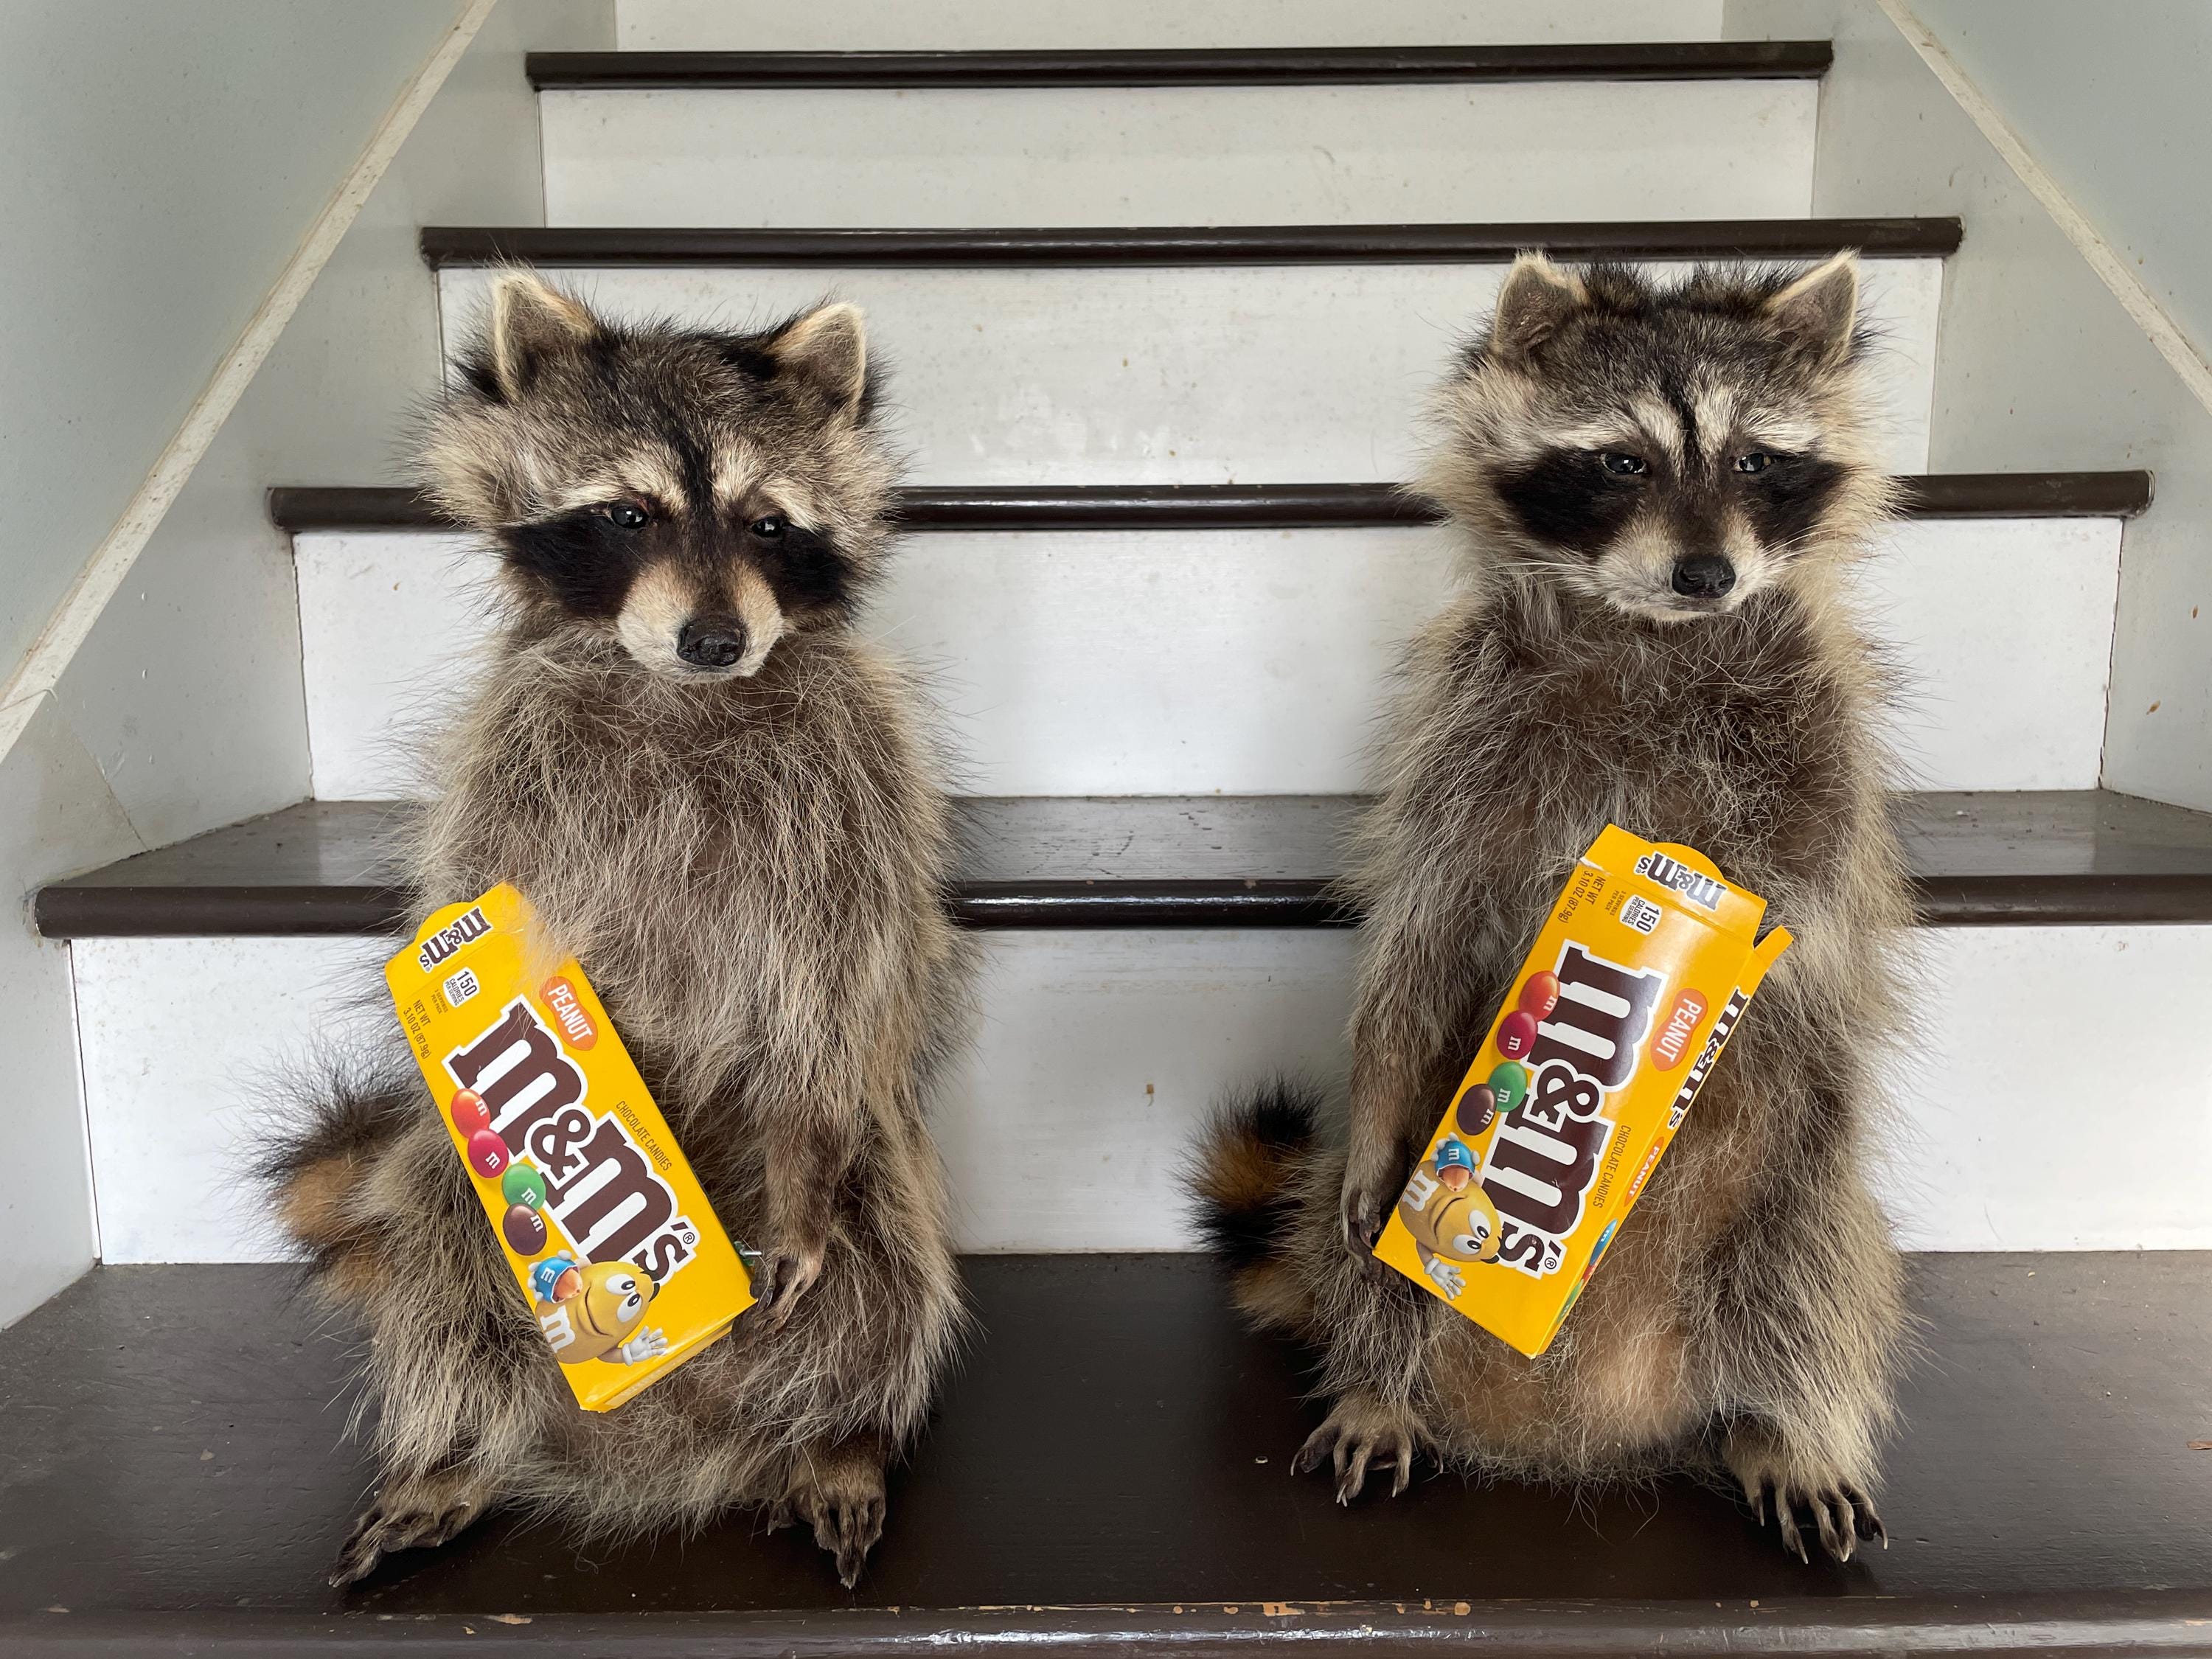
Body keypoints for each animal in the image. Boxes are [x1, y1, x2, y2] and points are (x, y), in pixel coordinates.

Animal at [263, 272, 974, 1588]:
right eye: (629, 514)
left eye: (767, 525)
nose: (716, 638)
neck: (679, 692)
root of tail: (672, 1445)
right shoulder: (507, 767)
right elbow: (472, 914)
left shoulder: (854, 777)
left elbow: (834, 975)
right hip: (457, 1214)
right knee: (442, 1253)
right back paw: (456, 1448)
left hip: (865, 1168)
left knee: (883, 1264)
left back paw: (839, 1434)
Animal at [1191, 254, 1911, 1563]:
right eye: (1621, 462)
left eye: (1756, 460)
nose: (1707, 574)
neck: (1657, 635)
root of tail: (1570, 1439)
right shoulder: (1466, 735)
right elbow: (1418, 930)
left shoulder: (1822, 755)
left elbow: (1816, 933)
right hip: (1379, 1214)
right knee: (1367, 1259)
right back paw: (1382, 1381)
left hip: (1800, 1182)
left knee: (1820, 1274)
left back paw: (1780, 1425)